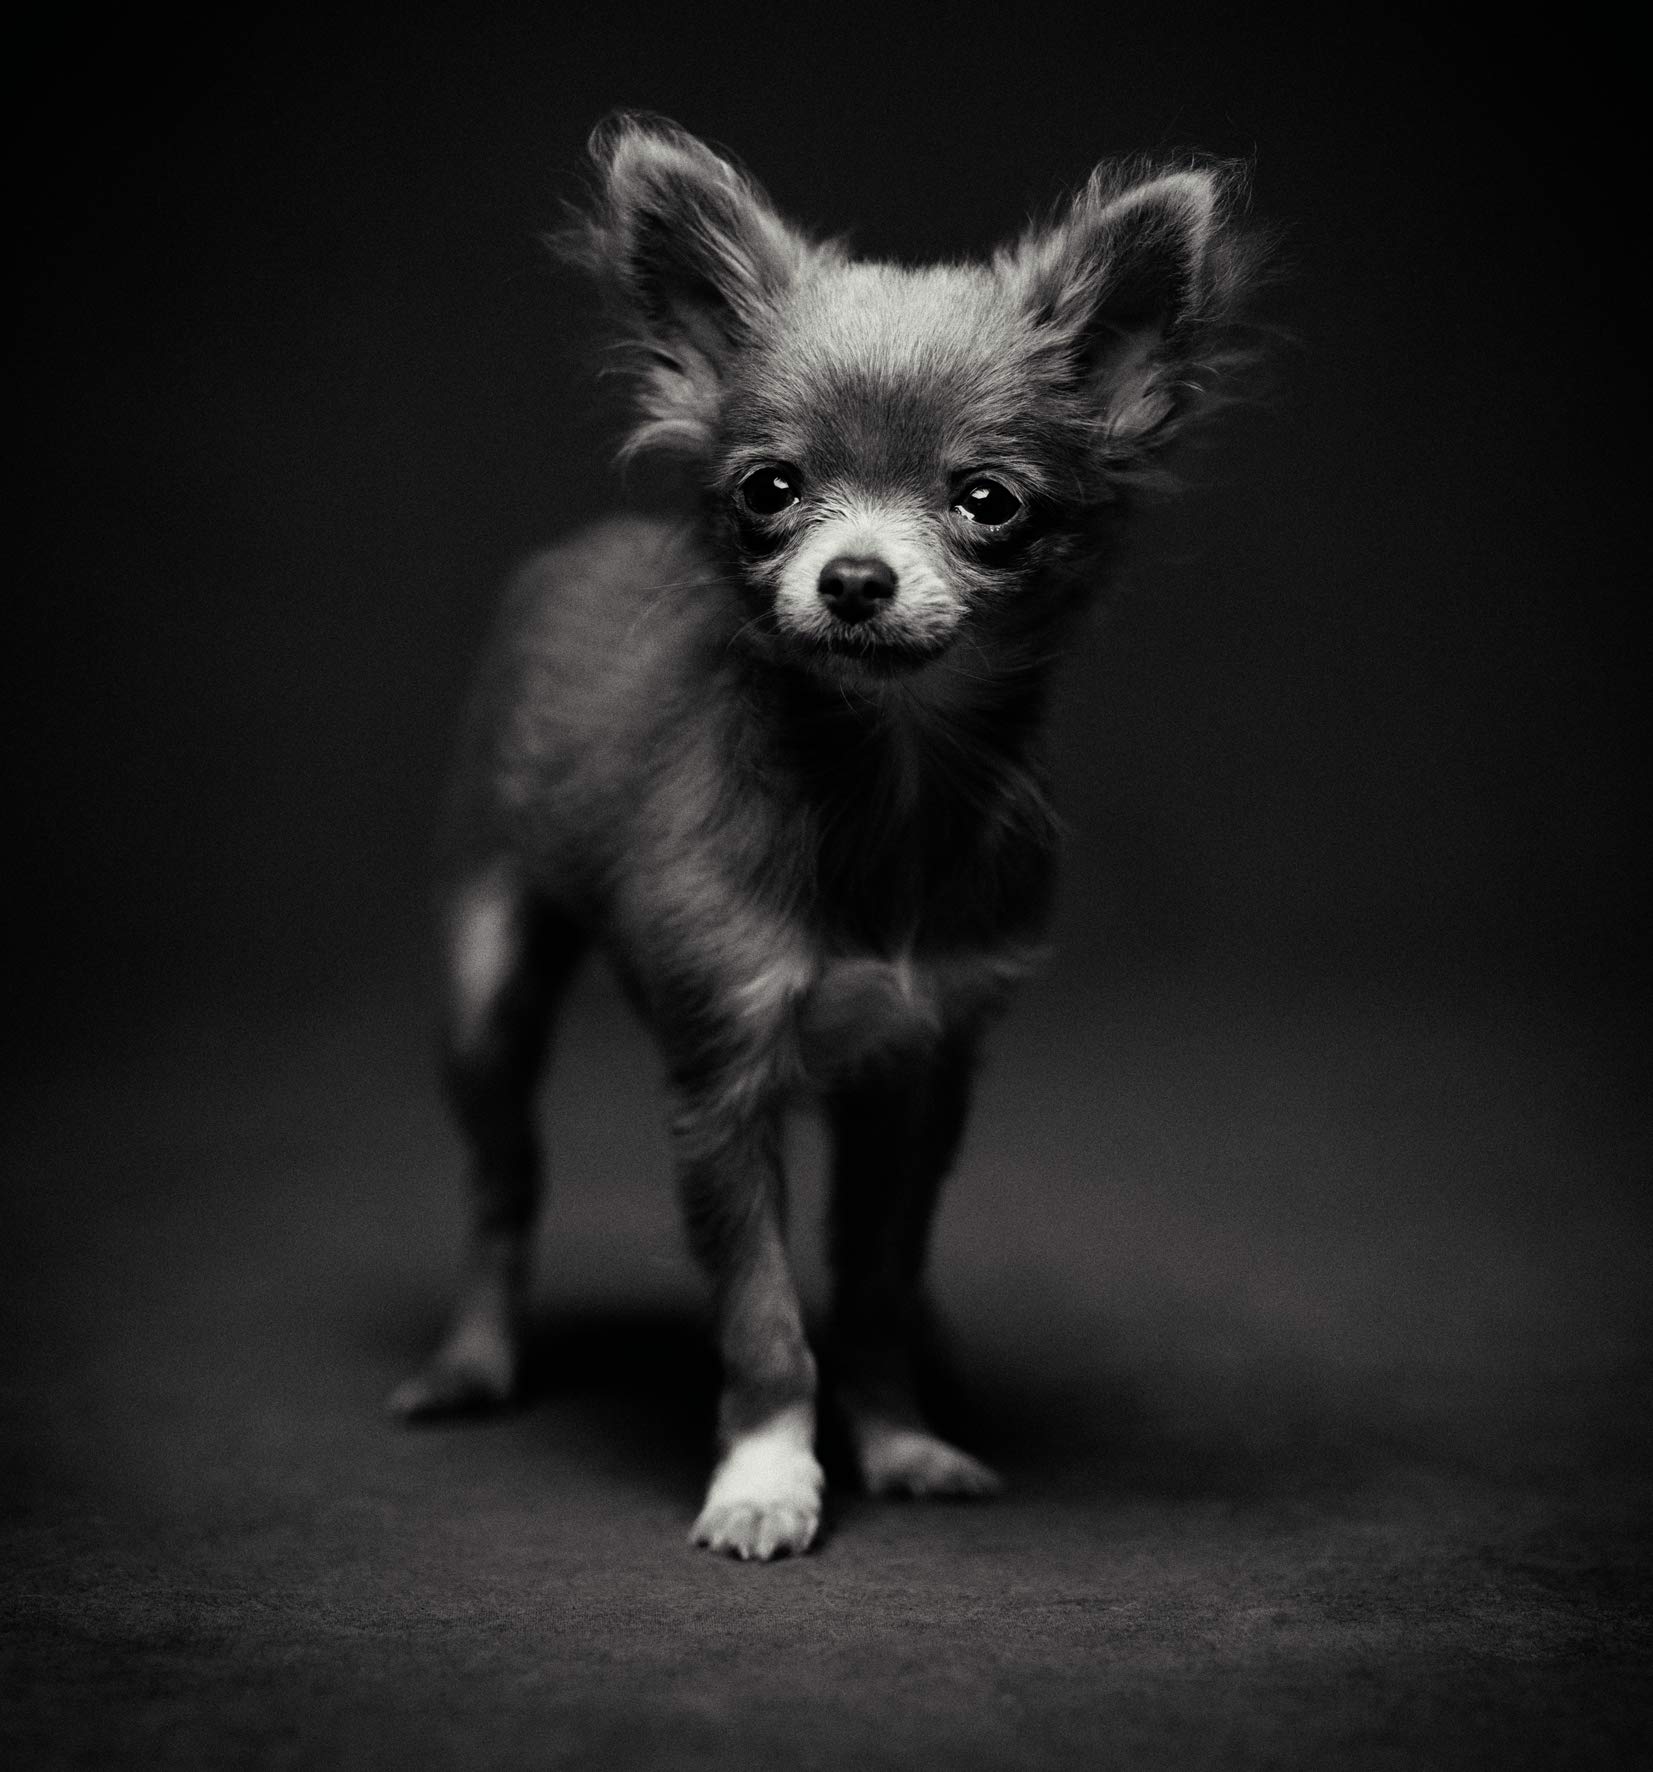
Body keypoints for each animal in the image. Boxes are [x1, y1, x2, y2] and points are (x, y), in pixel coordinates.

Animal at [390, 114, 1259, 1559]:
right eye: (770, 490)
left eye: (987, 502)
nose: (854, 578)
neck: (884, 782)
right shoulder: (721, 1091)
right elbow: (760, 1314)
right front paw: (764, 1475)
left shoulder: (917, 1075)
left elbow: (875, 1281)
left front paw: (898, 1436)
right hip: (485, 981)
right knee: (502, 1182)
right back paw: (470, 1362)